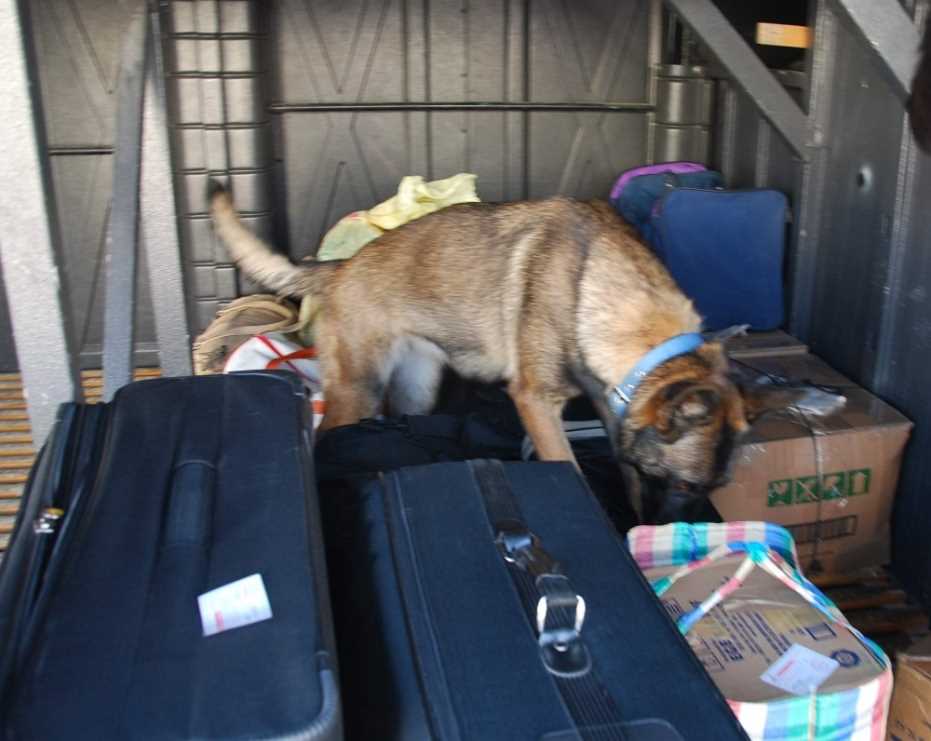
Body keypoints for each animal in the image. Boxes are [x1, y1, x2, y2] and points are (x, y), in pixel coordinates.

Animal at [213, 180, 844, 516]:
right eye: (688, 486)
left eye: (716, 490)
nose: (679, 537)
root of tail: (338, 269)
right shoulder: (538, 404)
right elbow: (569, 468)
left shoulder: (614, 408)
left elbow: (628, 471)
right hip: (358, 391)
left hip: (417, 389)